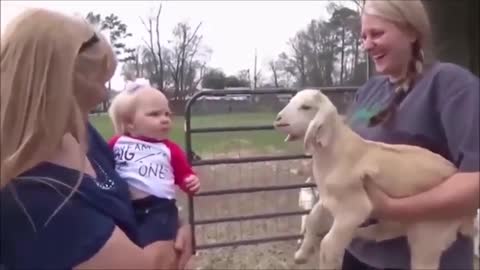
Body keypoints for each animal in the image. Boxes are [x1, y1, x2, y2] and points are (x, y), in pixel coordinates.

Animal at [272, 89, 474, 270]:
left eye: (306, 107)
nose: (278, 119)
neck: (335, 153)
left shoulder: (354, 207)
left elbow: (329, 244)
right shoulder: (329, 197)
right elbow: (313, 218)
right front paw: (301, 254)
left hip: (429, 234)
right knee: (384, 231)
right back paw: (362, 233)